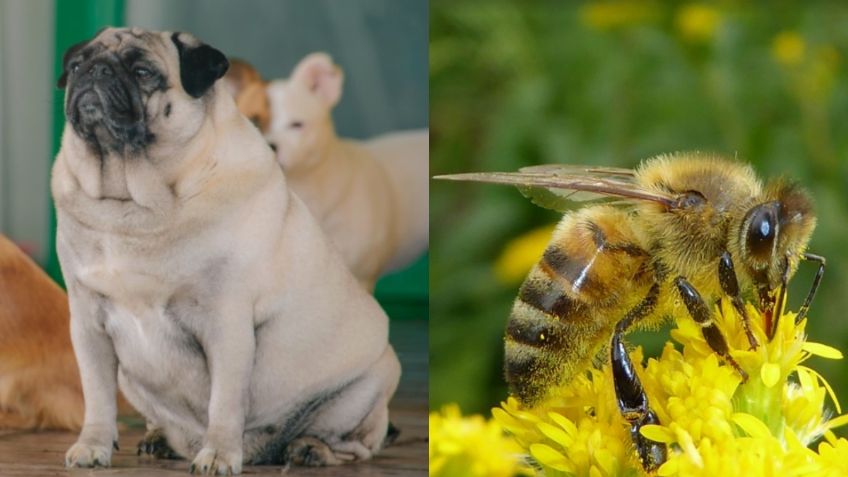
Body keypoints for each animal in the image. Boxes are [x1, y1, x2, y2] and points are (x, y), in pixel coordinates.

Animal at [53, 27, 400, 474]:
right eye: (78, 65)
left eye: (143, 72)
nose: (95, 71)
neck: (133, 202)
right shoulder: (88, 324)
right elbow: (97, 399)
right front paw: (93, 445)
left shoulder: (226, 324)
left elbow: (224, 402)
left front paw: (218, 453)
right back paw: (160, 438)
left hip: (368, 386)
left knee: (357, 443)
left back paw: (310, 448)